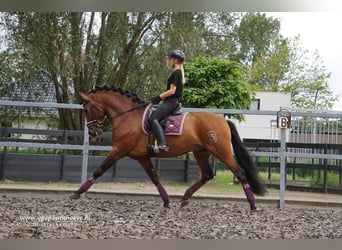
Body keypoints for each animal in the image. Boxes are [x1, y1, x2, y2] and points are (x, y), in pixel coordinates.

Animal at [70, 85, 268, 209]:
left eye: (86, 109)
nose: (93, 132)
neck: (128, 116)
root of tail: (223, 120)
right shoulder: (142, 157)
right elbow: (155, 178)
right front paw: (165, 202)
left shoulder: (118, 151)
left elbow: (99, 170)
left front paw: (77, 193)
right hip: (201, 152)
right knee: (206, 175)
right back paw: (185, 198)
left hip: (221, 151)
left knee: (240, 173)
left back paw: (253, 205)